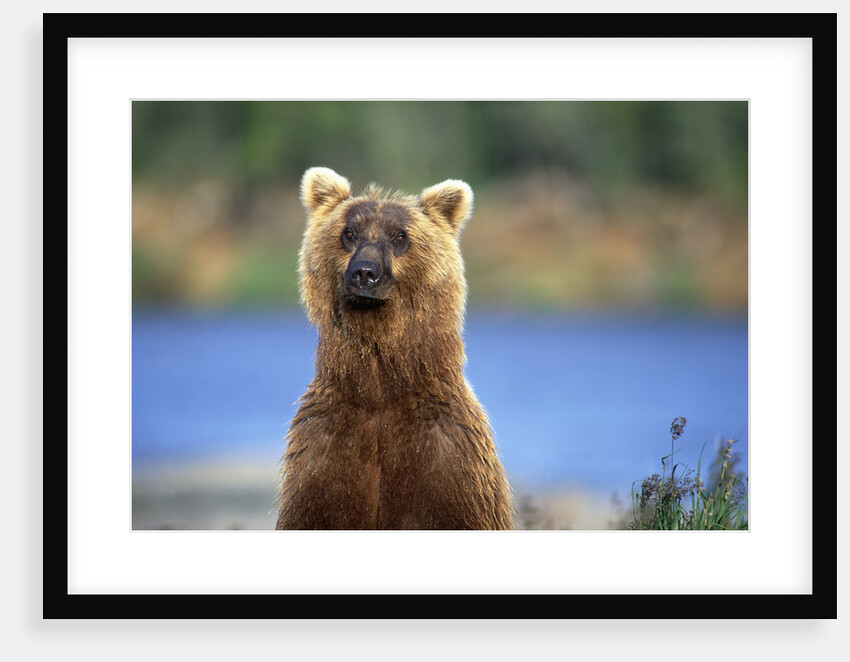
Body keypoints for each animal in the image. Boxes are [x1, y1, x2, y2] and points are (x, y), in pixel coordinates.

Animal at [275, 167, 514, 530]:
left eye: (399, 236)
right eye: (349, 232)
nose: (364, 272)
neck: (379, 390)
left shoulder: (448, 460)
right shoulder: (325, 454)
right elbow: (315, 508)